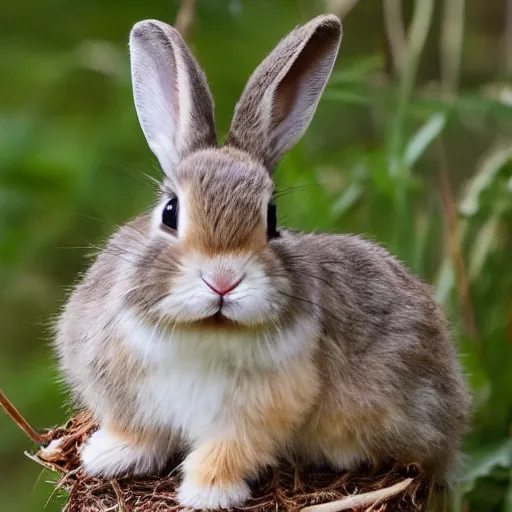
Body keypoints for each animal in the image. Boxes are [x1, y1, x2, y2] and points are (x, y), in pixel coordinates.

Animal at [54, 14, 470, 510]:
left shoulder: (256, 412)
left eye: (271, 220)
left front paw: (206, 493)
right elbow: (140, 432)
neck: (206, 331)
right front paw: (108, 455)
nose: (222, 281)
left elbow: (227, 451)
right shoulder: (127, 393)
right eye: (170, 212)